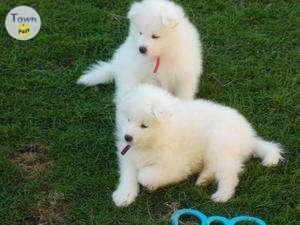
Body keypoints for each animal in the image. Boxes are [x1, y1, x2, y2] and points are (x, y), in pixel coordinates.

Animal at [112, 83, 284, 207]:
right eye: (128, 119)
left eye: (144, 125)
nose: (127, 137)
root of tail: (249, 136)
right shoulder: (128, 157)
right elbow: (128, 176)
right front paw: (124, 195)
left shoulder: (176, 165)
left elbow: (145, 175)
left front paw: (149, 183)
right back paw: (204, 179)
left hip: (220, 144)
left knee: (229, 173)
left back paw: (222, 195)